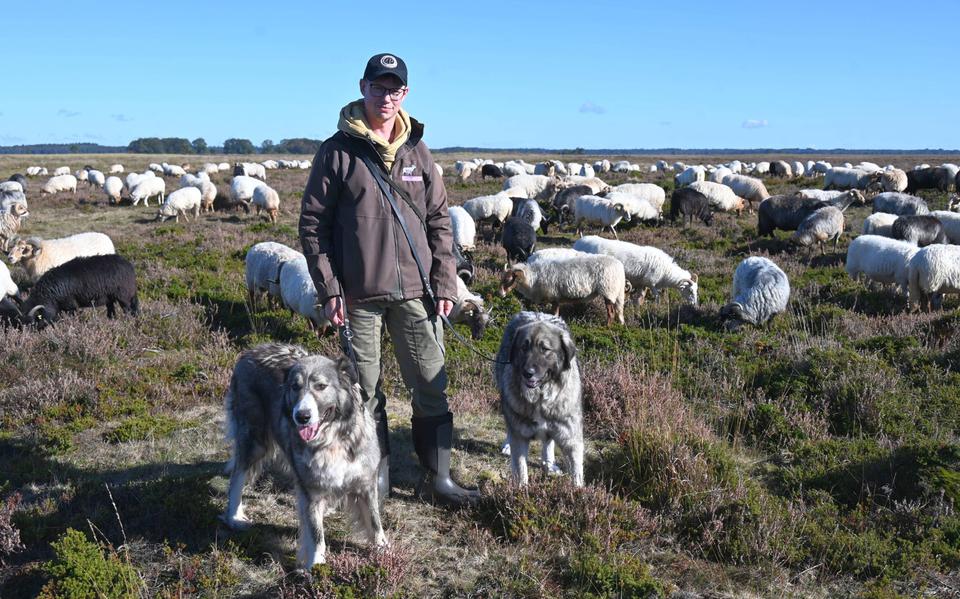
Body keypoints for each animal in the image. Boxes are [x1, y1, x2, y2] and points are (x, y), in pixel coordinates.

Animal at [221, 344, 386, 568]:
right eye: (294, 387)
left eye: (321, 386)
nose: (301, 416)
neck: (333, 440)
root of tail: (250, 351)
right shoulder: (310, 489)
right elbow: (316, 533)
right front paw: (317, 567)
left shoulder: (365, 482)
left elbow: (375, 521)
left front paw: (384, 551)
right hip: (254, 441)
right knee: (237, 476)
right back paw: (234, 516)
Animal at [496, 312, 584, 486]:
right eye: (524, 348)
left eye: (545, 349)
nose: (527, 373)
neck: (540, 398)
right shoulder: (520, 438)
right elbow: (520, 470)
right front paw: (521, 490)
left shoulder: (571, 439)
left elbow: (577, 475)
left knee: (548, 442)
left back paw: (549, 464)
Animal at [498, 253, 628, 328]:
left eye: (509, 279)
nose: (500, 294)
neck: (533, 278)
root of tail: (619, 266)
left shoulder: (554, 297)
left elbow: (554, 314)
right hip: (616, 291)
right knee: (618, 310)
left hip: (608, 290)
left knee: (611, 312)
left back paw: (607, 327)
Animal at [568, 237, 696, 308]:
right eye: (690, 290)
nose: (694, 305)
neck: (666, 271)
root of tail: (578, 242)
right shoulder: (652, 283)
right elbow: (657, 297)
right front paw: (658, 307)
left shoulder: (642, 284)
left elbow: (640, 297)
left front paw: (637, 308)